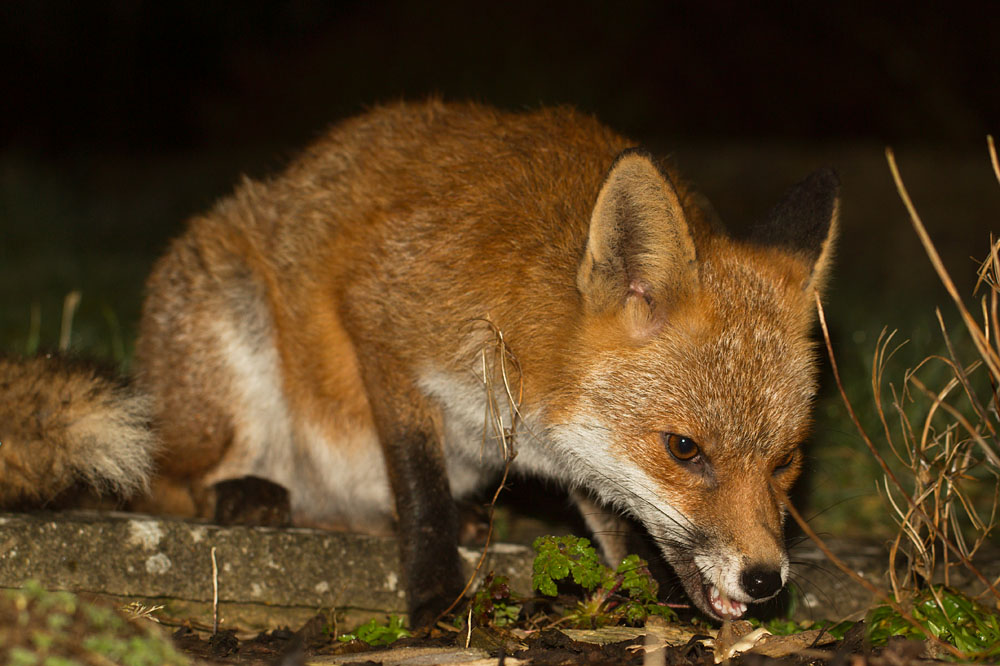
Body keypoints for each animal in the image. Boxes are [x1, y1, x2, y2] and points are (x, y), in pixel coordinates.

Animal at [0, 100, 838, 626]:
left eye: (786, 461)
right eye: (684, 449)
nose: (766, 578)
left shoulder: (566, 440)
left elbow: (610, 512)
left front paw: (650, 588)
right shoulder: (382, 318)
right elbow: (418, 479)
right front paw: (435, 593)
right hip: (223, 353)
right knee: (162, 480)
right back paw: (240, 495)